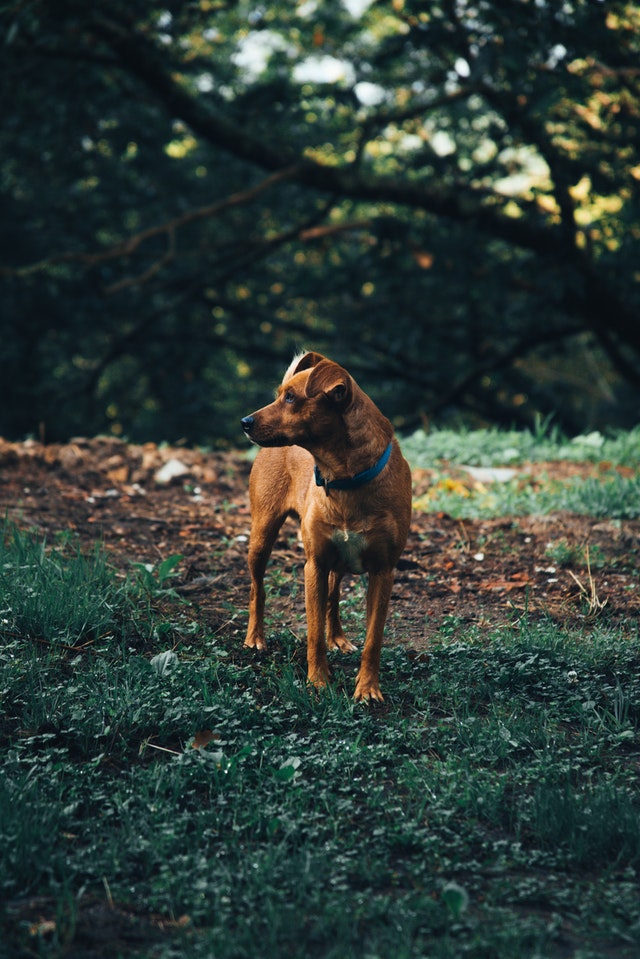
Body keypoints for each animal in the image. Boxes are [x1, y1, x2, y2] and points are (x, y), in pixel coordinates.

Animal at [240, 350, 410, 696]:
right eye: (280, 394)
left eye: (291, 398)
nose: (245, 422)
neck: (345, 478)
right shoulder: (314, 564)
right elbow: (313, 632)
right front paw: (318, 681)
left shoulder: (383, 571)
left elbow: (373, 640)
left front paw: (367, 688)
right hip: (262, 536)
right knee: (256, 588)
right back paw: (255, 637)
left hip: (339, 560)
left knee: (333, 596)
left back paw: (338, 638)